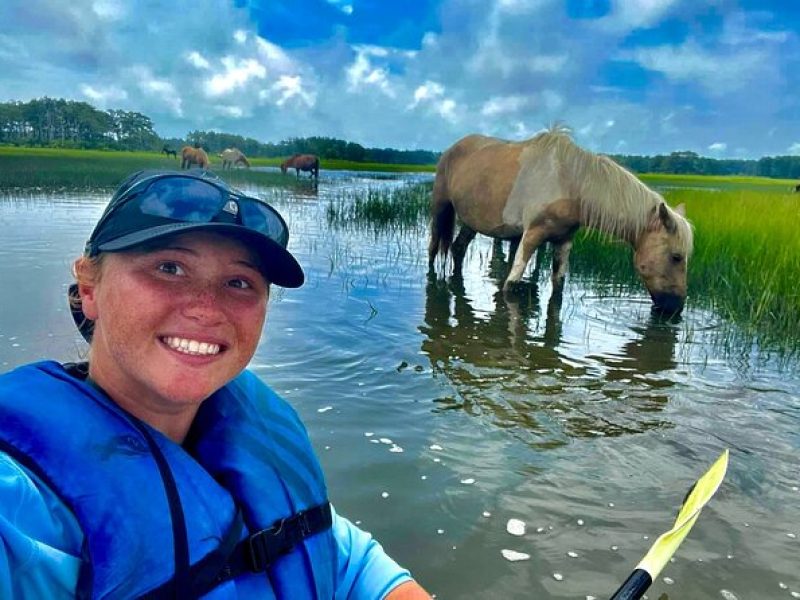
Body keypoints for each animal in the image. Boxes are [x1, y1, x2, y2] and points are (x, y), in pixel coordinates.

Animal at [432, 126, 692, 314]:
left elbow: (558, 287)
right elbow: (511, 286)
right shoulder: (531, 235)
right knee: (434, 249)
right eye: (676, 257)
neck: (569, 182)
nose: (675, 309)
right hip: (440, 208)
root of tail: (452, 148)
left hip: (471, 221)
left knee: (458, 249)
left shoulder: (564, 241)